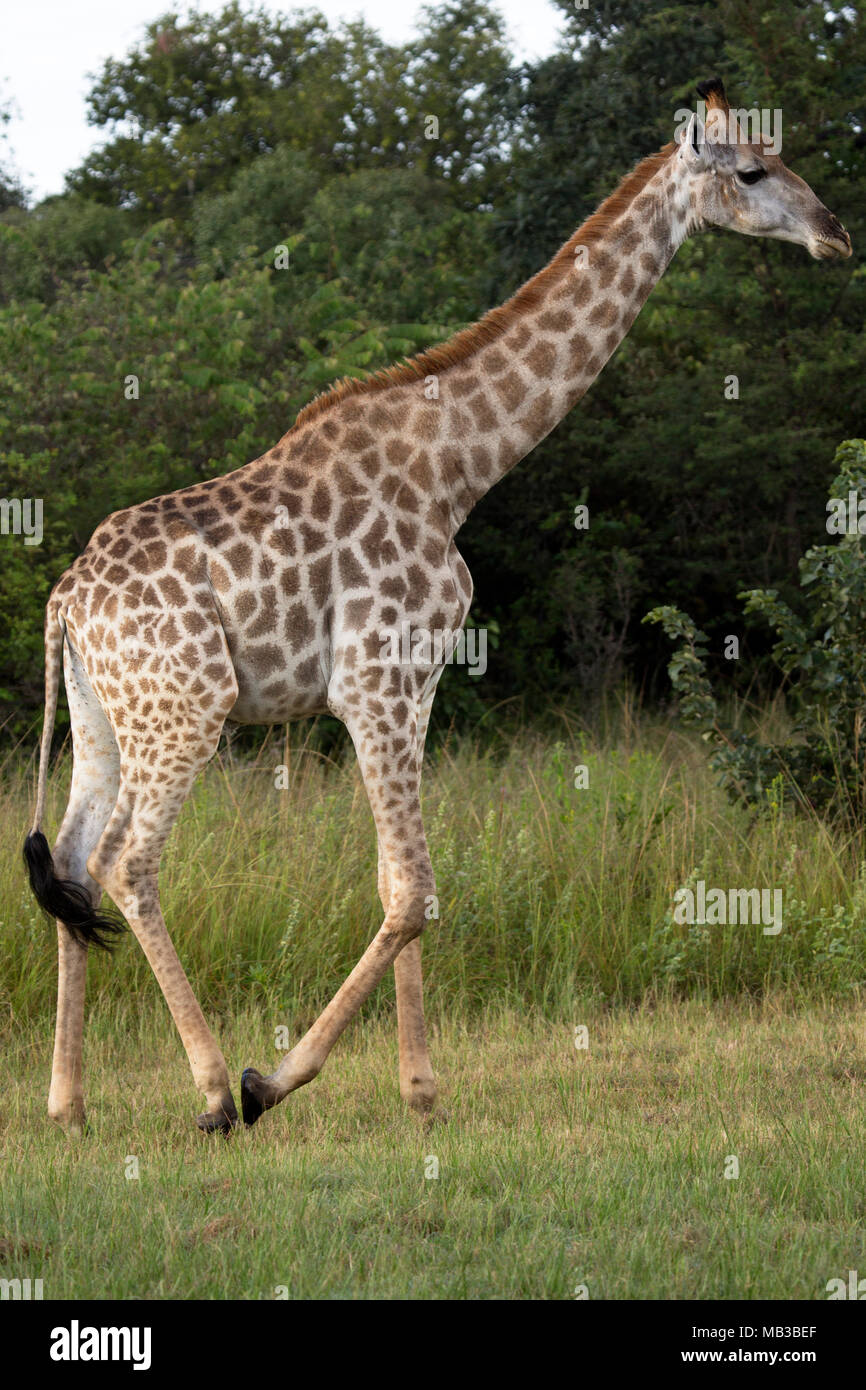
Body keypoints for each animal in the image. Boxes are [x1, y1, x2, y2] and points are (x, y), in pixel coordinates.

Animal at [25, 81, 856, 1134]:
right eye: (751, 172)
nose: (836, 234)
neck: (459, 467)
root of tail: (64, 598)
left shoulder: (415, 686)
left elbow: (399, 882)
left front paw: (420, 1091)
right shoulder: (372, 683)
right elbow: (415, 889)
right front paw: (273, 1080)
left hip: (105, 715)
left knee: (72, 861)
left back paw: (67, 1103)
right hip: (187, 706)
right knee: (128, 861)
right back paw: (213, 1092)